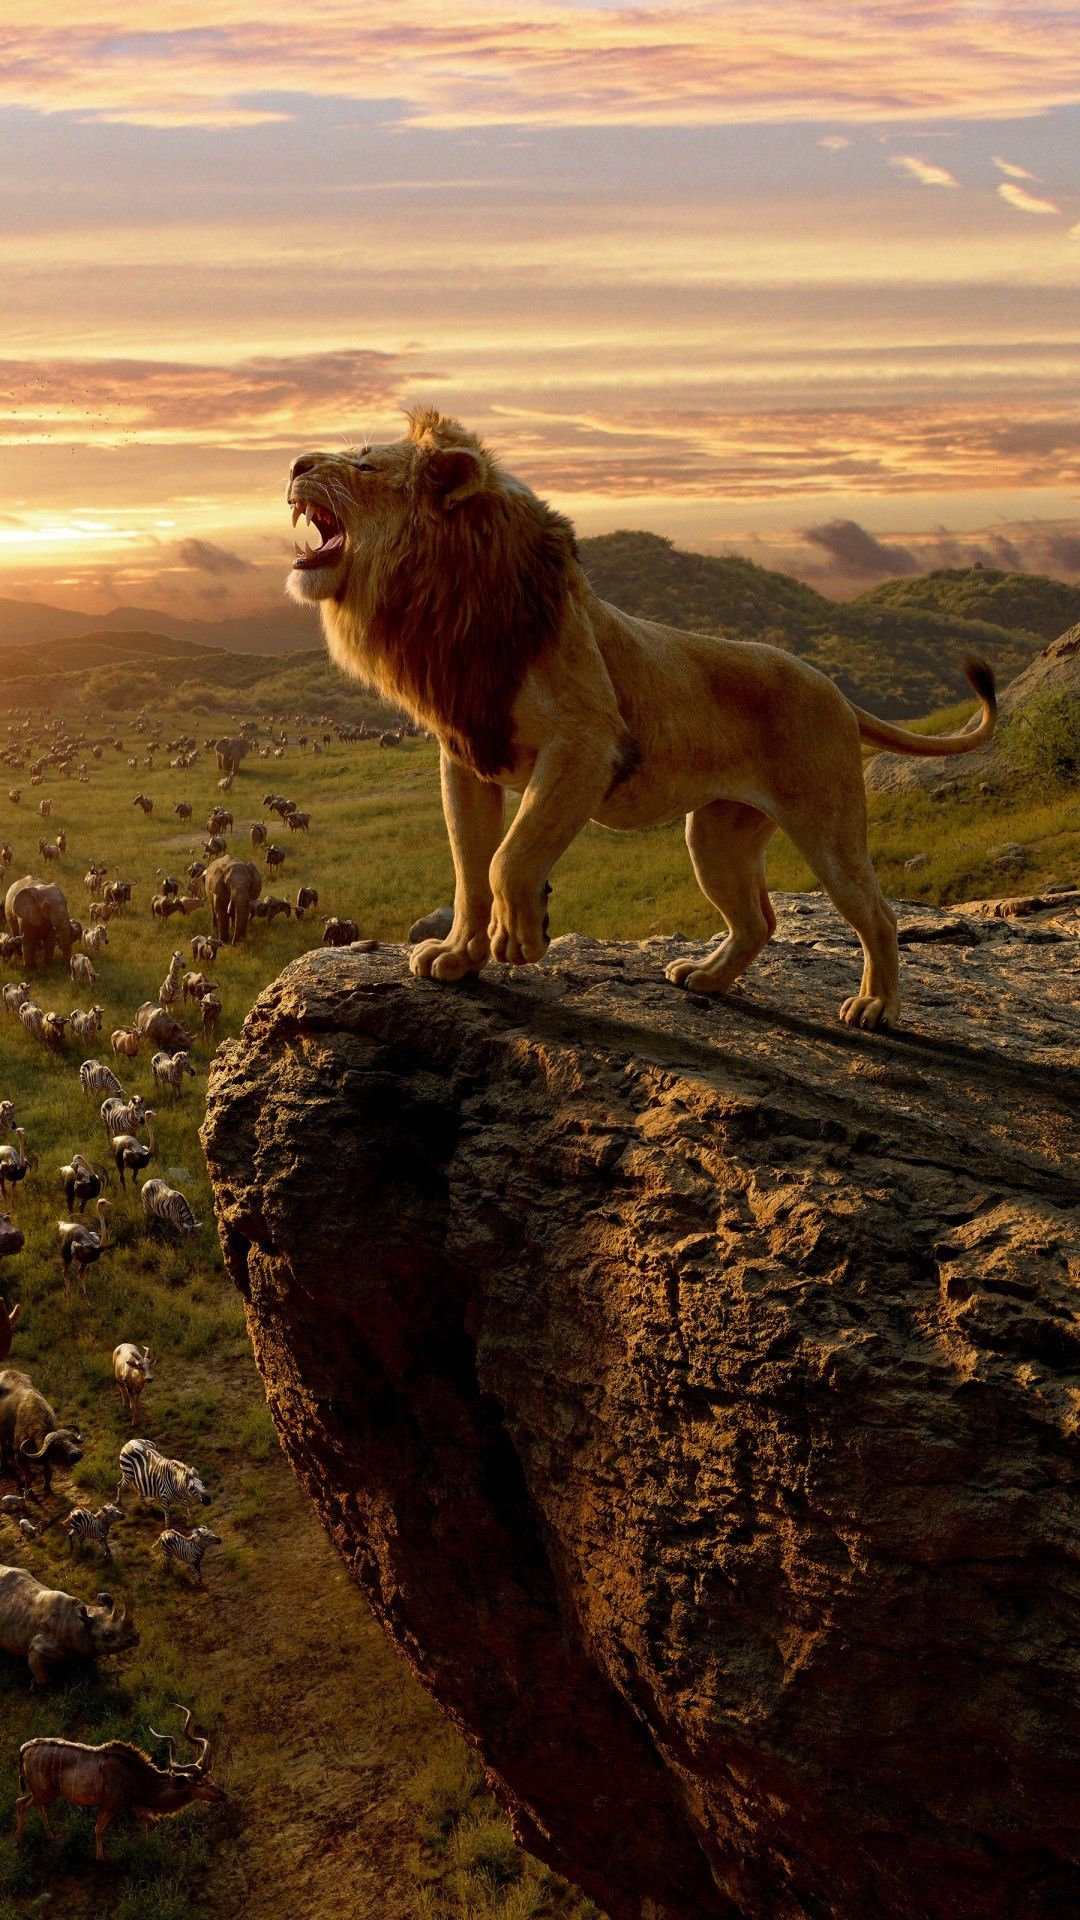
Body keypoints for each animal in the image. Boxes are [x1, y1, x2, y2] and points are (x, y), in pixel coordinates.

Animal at [285, 410, 996, 1030]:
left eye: (363, 462)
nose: (294, 464)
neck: (443, 606)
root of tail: (837, 691)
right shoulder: (466, 754)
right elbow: (468, 867)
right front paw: (458, 957)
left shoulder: (588, 742)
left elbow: (509, 857)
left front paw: (520, 937)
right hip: (715, 836)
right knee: (758, 920)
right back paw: (705, 978)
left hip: (827, 825)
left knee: (876, 913)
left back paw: (876, 1007)